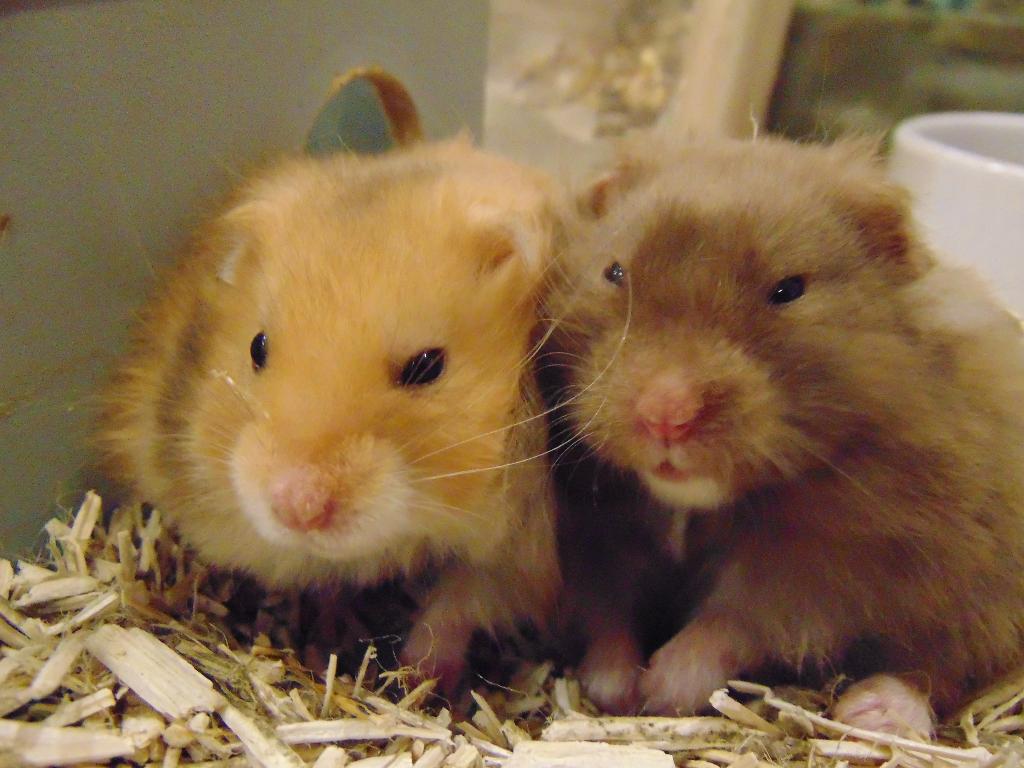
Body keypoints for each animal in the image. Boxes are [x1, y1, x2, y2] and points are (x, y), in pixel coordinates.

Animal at [97, 139, 562, 689]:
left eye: (427, 366)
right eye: (257, 348)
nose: (296, 508)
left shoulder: (521, 555)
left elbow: (458, 605)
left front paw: (417, 678)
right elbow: (328, 588)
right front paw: (329, 644)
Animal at [546, 134, 1024, 729]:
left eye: (789, 289)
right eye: (613, 272)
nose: (665, 414)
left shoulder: (829, 565)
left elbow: (738, 619)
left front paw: (664, 688)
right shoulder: (599, 533)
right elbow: (610, 611)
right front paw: (616, 689)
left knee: (943, 665)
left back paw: (872, 712)